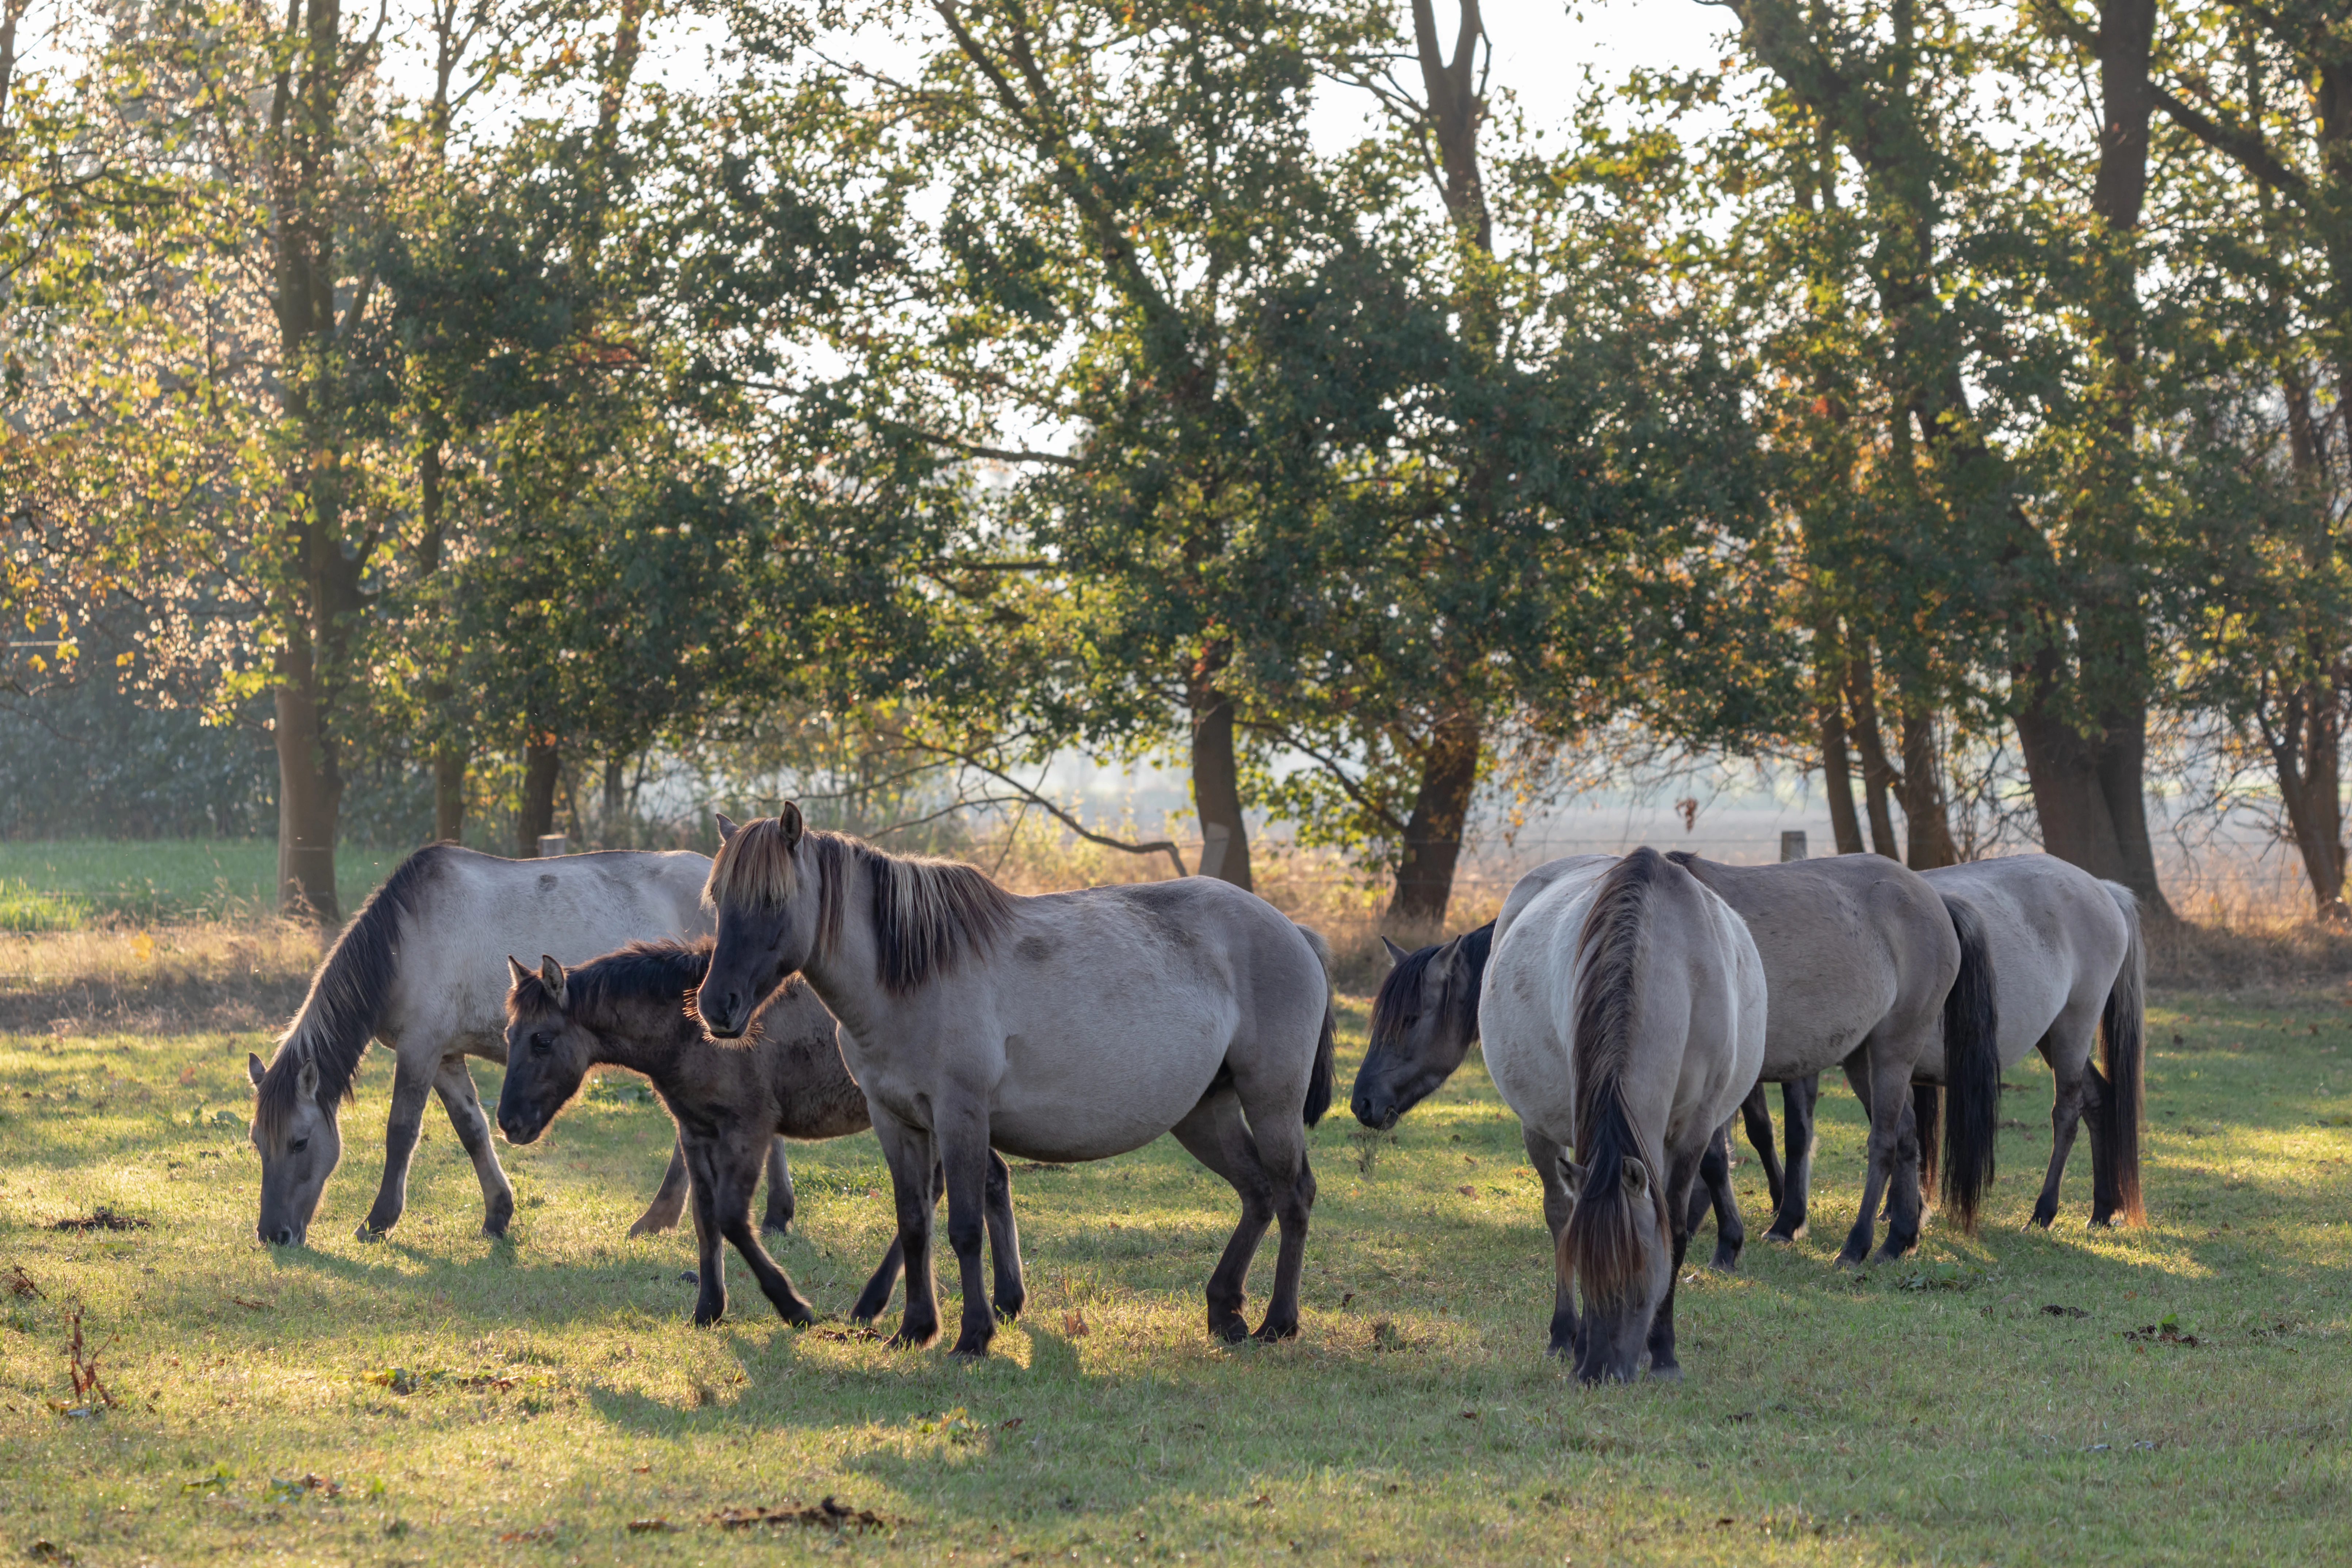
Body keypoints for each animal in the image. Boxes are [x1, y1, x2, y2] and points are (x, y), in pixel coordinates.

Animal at [245, 842, 793, 1247]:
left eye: (300, 1141)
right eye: (256, 1142)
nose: (274, 1234)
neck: (406, 941)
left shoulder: (420, 1048)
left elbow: (401, 1132)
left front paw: (378, 1220)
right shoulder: (445, 1056)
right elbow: (472, 1130)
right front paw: (497, 1214)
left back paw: (659, 1218)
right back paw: (774, 1214)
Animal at [496, 940, 1025, 1327]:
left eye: (542, 1039)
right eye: (509, 1035)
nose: (508, 1122)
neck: (688, 1031)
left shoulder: (747, 1127)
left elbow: (732, 1218)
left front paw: (793, 1306)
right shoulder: (696, 1132)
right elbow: (705, 1220)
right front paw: (708, 1309)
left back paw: (880, 1302)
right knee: (986, 1179)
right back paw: (1006, 1298)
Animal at [693, 807, 1337, 1356]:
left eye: (774, 899)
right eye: (719, 899)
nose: (717, 1006)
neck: (911, 975)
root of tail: (1293, 930)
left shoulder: (960, 1115)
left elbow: (964, 1226)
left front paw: (972, 1335)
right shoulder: (894, 1119)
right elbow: (914, 1224)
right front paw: (914, 1328)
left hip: (1270, 1101)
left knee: (1293, 1194)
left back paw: (1278, 1321)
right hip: (1206, 1112)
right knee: (1257, 1192)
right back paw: (1225, 1311)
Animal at [1479, 847, 1766, 1381]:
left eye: (1637, 1276)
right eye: (1585, 1270)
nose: (1597, 1370)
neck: (1677, 967)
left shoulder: (1694, 1129)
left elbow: (1676, 1228)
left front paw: (1665, 1353)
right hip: (1538, 1126)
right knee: (1558, 1210)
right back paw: (1561, 1334)